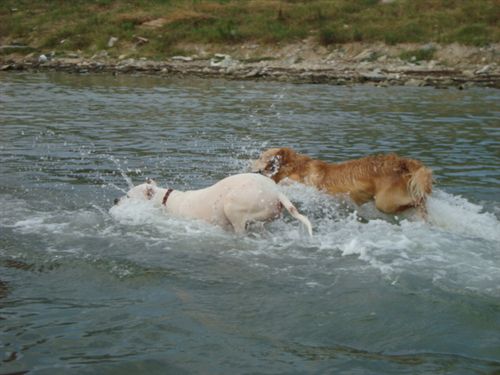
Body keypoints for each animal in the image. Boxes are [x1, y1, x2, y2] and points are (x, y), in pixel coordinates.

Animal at [252, 148, 432, 216]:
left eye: (261, 157)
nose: (250, 163)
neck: (295, 167)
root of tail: (401, 162)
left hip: (384, 203)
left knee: (412, 203)